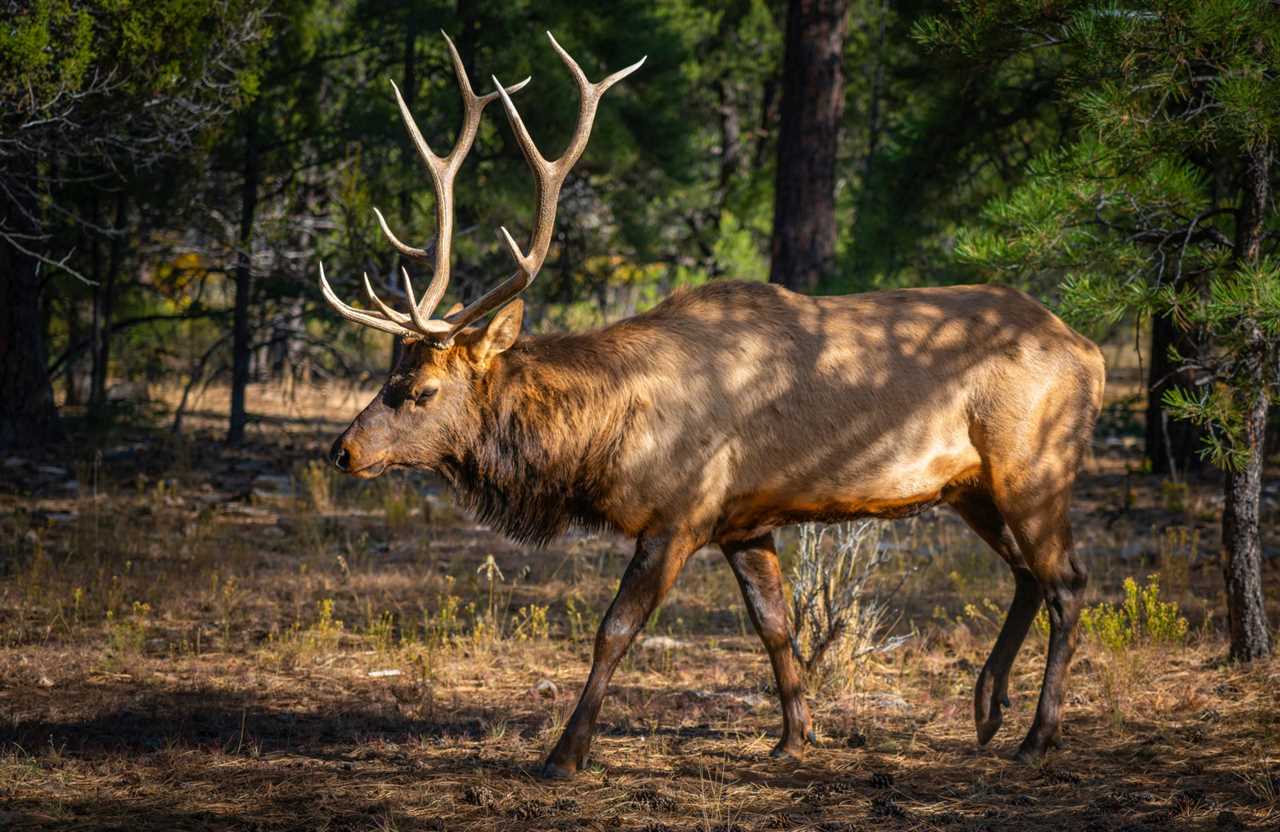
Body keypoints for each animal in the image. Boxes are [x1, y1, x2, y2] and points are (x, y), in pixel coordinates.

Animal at [322, 29, 1111, 773]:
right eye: (389, 377)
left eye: (420, 391)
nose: (344, 450)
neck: (605, 440)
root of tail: (1092, 353)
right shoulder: (745, 521)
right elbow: (777, 626)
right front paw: (794, 739)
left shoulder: (680, 516)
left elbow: (614, 631)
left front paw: (565, 753)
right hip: (970, 486)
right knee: (1025, 575)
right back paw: (987, 707)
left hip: (1034, 467)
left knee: (1068, 582)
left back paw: (1037, 735)